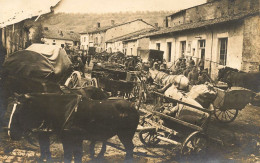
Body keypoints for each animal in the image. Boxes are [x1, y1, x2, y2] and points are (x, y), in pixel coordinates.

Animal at [8, 88, 139, 162]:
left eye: (20, 110)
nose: (11, 133)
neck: (65, 109)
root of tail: (133, 107)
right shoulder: (67, 139)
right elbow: (70, 156)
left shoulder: (74, 138)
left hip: (125, 135)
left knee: (129, 149)